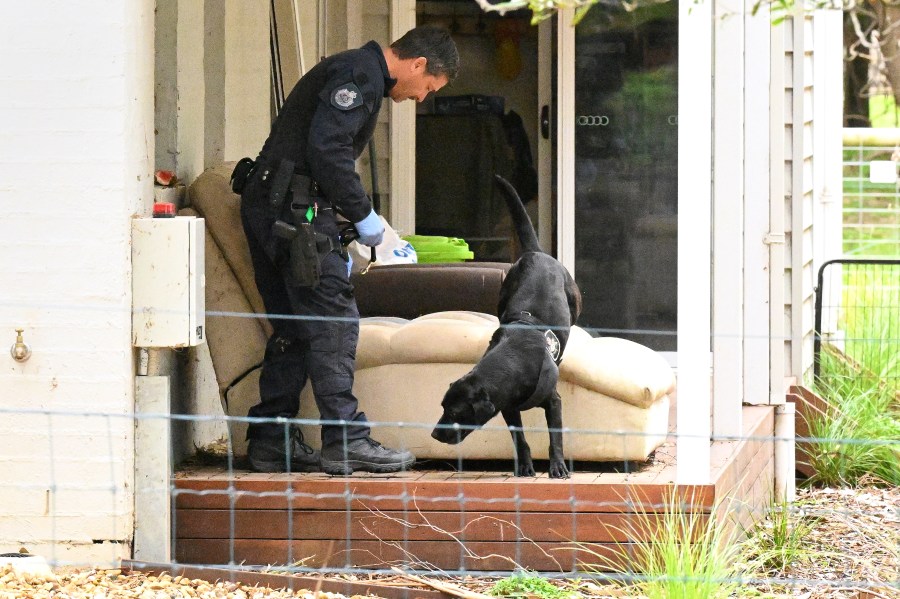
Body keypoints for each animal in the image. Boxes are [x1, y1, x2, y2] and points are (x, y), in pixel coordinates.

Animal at [430, 173, 584, 478]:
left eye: (454, 413)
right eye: (442, 406)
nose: (434, 434)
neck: (516, 361)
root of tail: (536, 253)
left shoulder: (553, 401)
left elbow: (555, 438)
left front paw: (558, 467)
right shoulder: (507, 408)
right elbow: (520, 439)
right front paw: (524, 466)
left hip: (575, 301)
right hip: (501, 297)